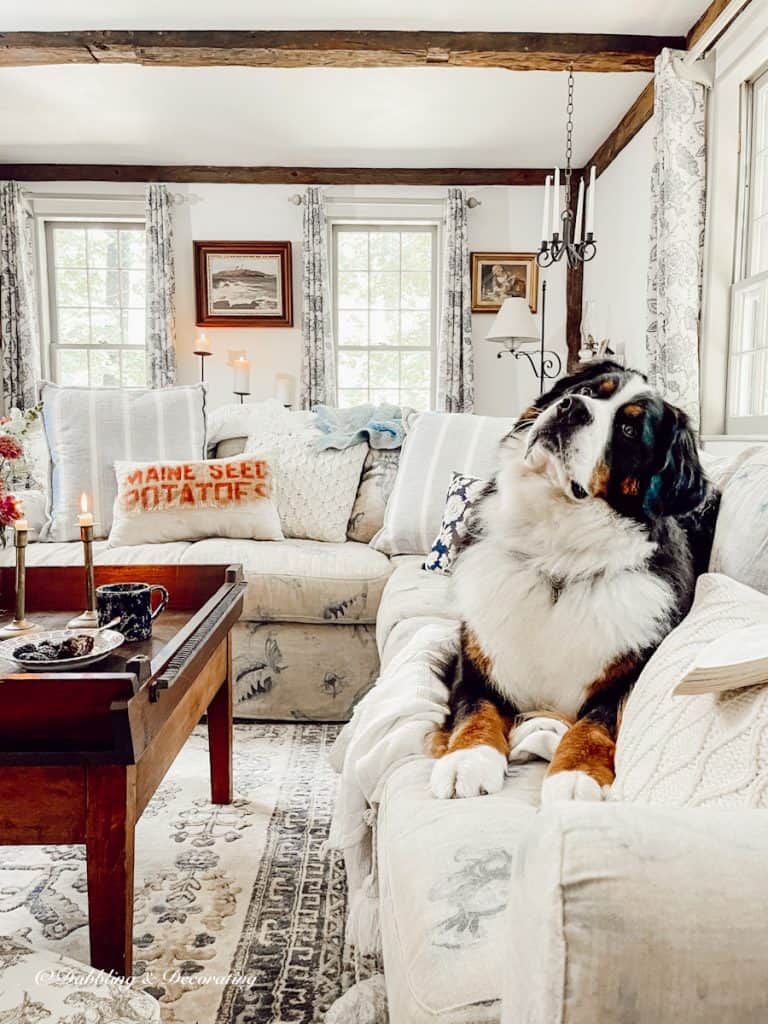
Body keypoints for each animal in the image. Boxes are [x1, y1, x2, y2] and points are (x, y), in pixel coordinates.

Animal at [430, 364, 720, 802]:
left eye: (629, 430)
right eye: (589, 391)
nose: (572, 408)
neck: (557, 560)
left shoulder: (630, 673)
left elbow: (598, 721)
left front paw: (576, 774)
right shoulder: (476, 656)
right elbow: (476, 706)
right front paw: (467, 759)